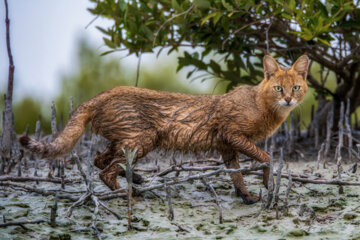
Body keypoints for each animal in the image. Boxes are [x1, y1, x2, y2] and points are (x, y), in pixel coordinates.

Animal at [19, 54, 310, 204]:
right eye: (278, 88)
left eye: (296, 87)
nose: (288, 99)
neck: (262, 105)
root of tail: (101, 95)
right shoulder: (233, 135)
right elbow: (266, 156)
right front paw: (266, 183)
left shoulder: (227, 146)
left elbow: (236, 174)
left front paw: (246, 196)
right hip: (145, 138)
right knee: (105, 170)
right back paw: (128, 192)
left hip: (127, 140)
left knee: (99, 160)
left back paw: (134, 178)